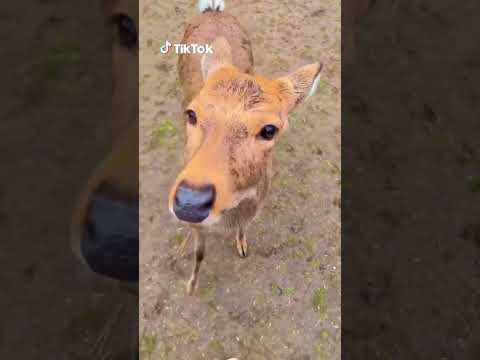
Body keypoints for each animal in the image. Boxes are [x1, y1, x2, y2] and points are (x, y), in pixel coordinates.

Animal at [168, 0, 322, 296]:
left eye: (270, 129)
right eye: (192, 114)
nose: (190, 203)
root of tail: (212, 10)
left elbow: (242, 229)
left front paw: (242, 246)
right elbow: (199, 253)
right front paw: (191, 285)